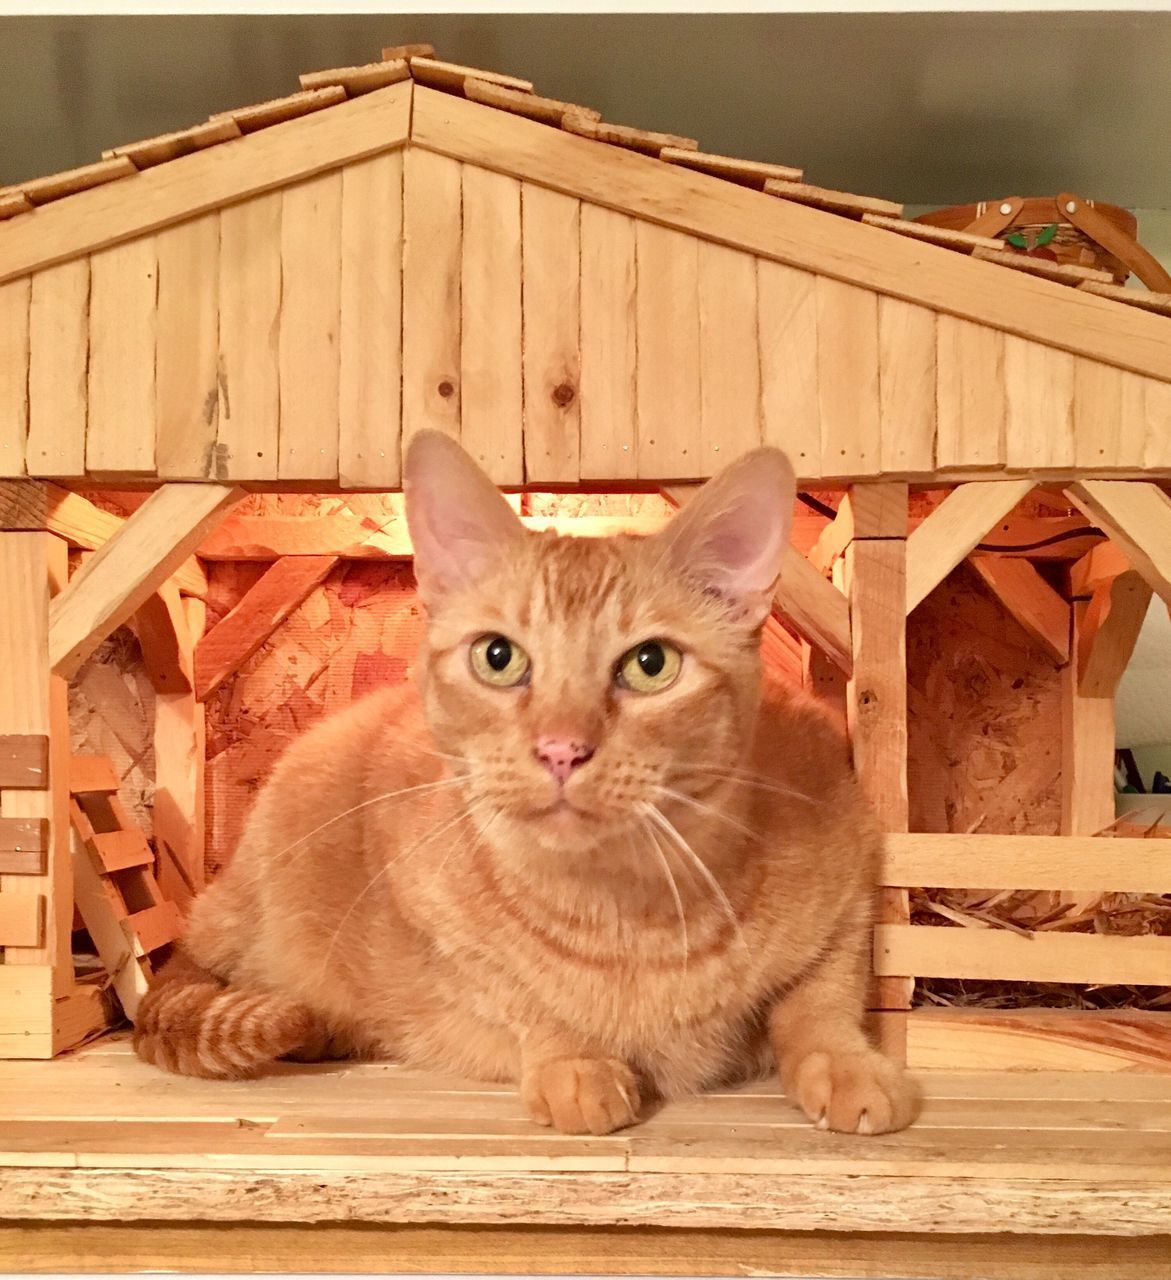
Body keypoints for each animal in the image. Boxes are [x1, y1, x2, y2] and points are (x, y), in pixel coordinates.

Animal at [137, 435, 921, 1136]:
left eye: (651, 664)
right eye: (498, 657)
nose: (561, 749)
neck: (628, 911)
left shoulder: (849, 858)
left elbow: (820, 999)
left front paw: (847, 1065)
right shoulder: (435, 915)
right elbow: (524, 998)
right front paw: (572, 1061)